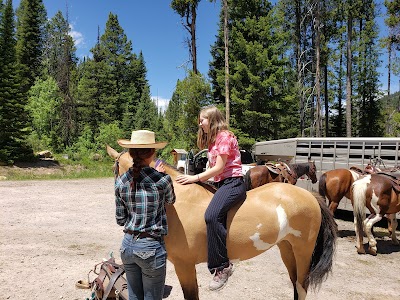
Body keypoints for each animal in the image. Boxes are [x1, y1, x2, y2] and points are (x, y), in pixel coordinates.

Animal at [107, 144, 338, 298]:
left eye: (114, 168)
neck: (177, 203)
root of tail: (309, 196)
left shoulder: (184, 265)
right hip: (287, 248)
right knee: (296, 285)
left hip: (303, 251)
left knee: (301, 286)